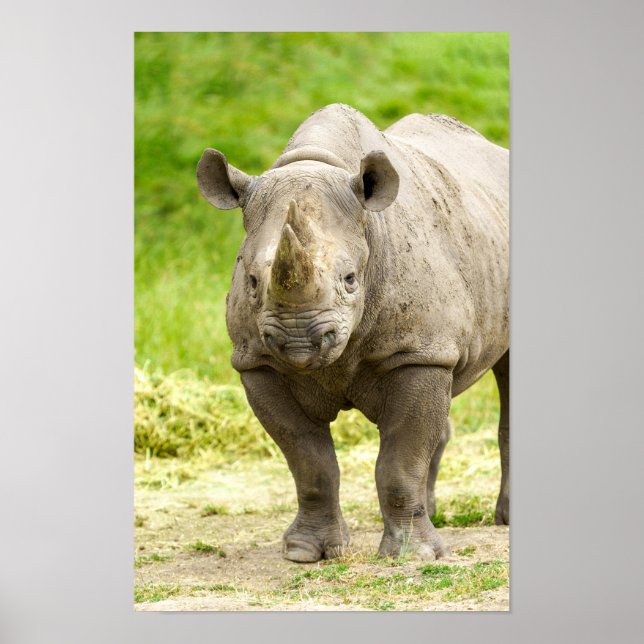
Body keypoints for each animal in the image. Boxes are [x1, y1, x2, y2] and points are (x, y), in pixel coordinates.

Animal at [197, 103, 509, 562]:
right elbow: (310, 463)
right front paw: (306, 552)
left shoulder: (415, 354)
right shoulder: (258, 362)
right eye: (252, 281)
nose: (298, 342)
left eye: (349, 279)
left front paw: (412, 556)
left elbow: (400, 462)